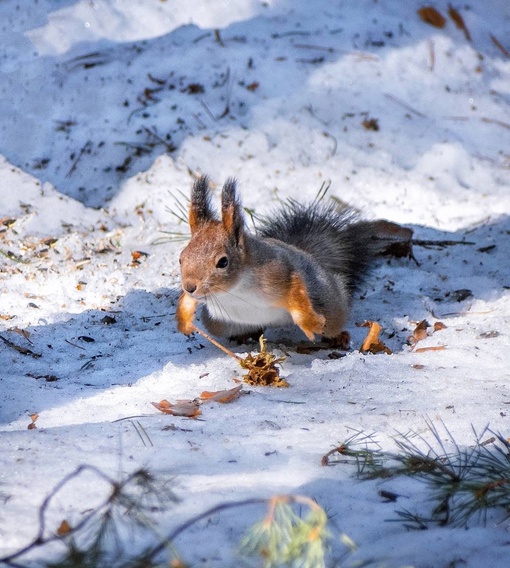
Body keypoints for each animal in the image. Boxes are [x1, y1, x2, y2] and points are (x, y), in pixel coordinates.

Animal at [177, 176, 400, 342]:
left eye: (223, 262)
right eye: (181, 258)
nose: (189, 287)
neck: (234, 290)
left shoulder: (279, 271)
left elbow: (295, 291)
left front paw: (308, 322)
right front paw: (184, 314)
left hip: (331, 308)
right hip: (219, 324)